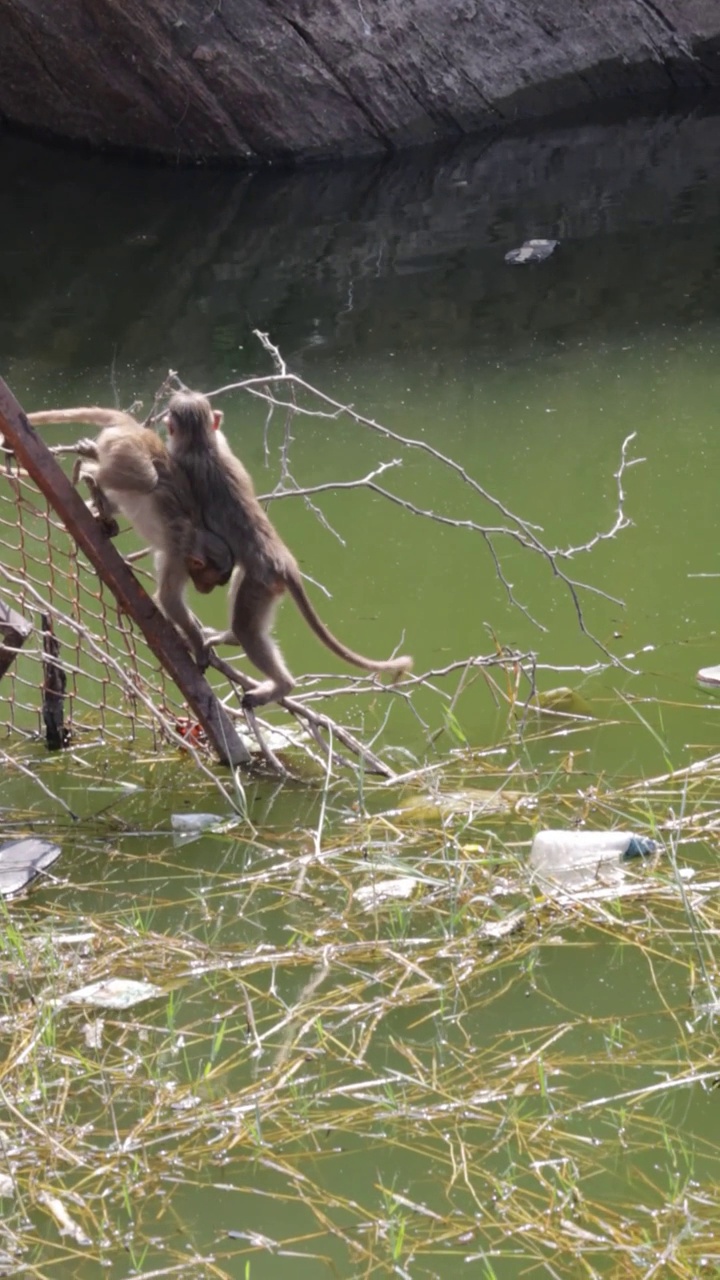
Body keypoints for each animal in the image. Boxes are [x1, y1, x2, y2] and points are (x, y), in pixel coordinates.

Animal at [26, 404, 229, 655]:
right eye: (212, 580)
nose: (206, 590)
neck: (196, 539)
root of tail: (138, 431)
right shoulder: (179, 555)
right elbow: (169, 600)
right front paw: (199, 647)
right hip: (129, 449)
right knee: (146, 479)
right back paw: (89, 469)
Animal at [162, 389, 409, 711]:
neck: (201, 443)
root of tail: (284, 562)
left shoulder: (178, 461)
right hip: (264, 584)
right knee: (244, 605)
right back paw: (231, 638)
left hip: (262, 582)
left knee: (247, 629)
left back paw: (280, 685)